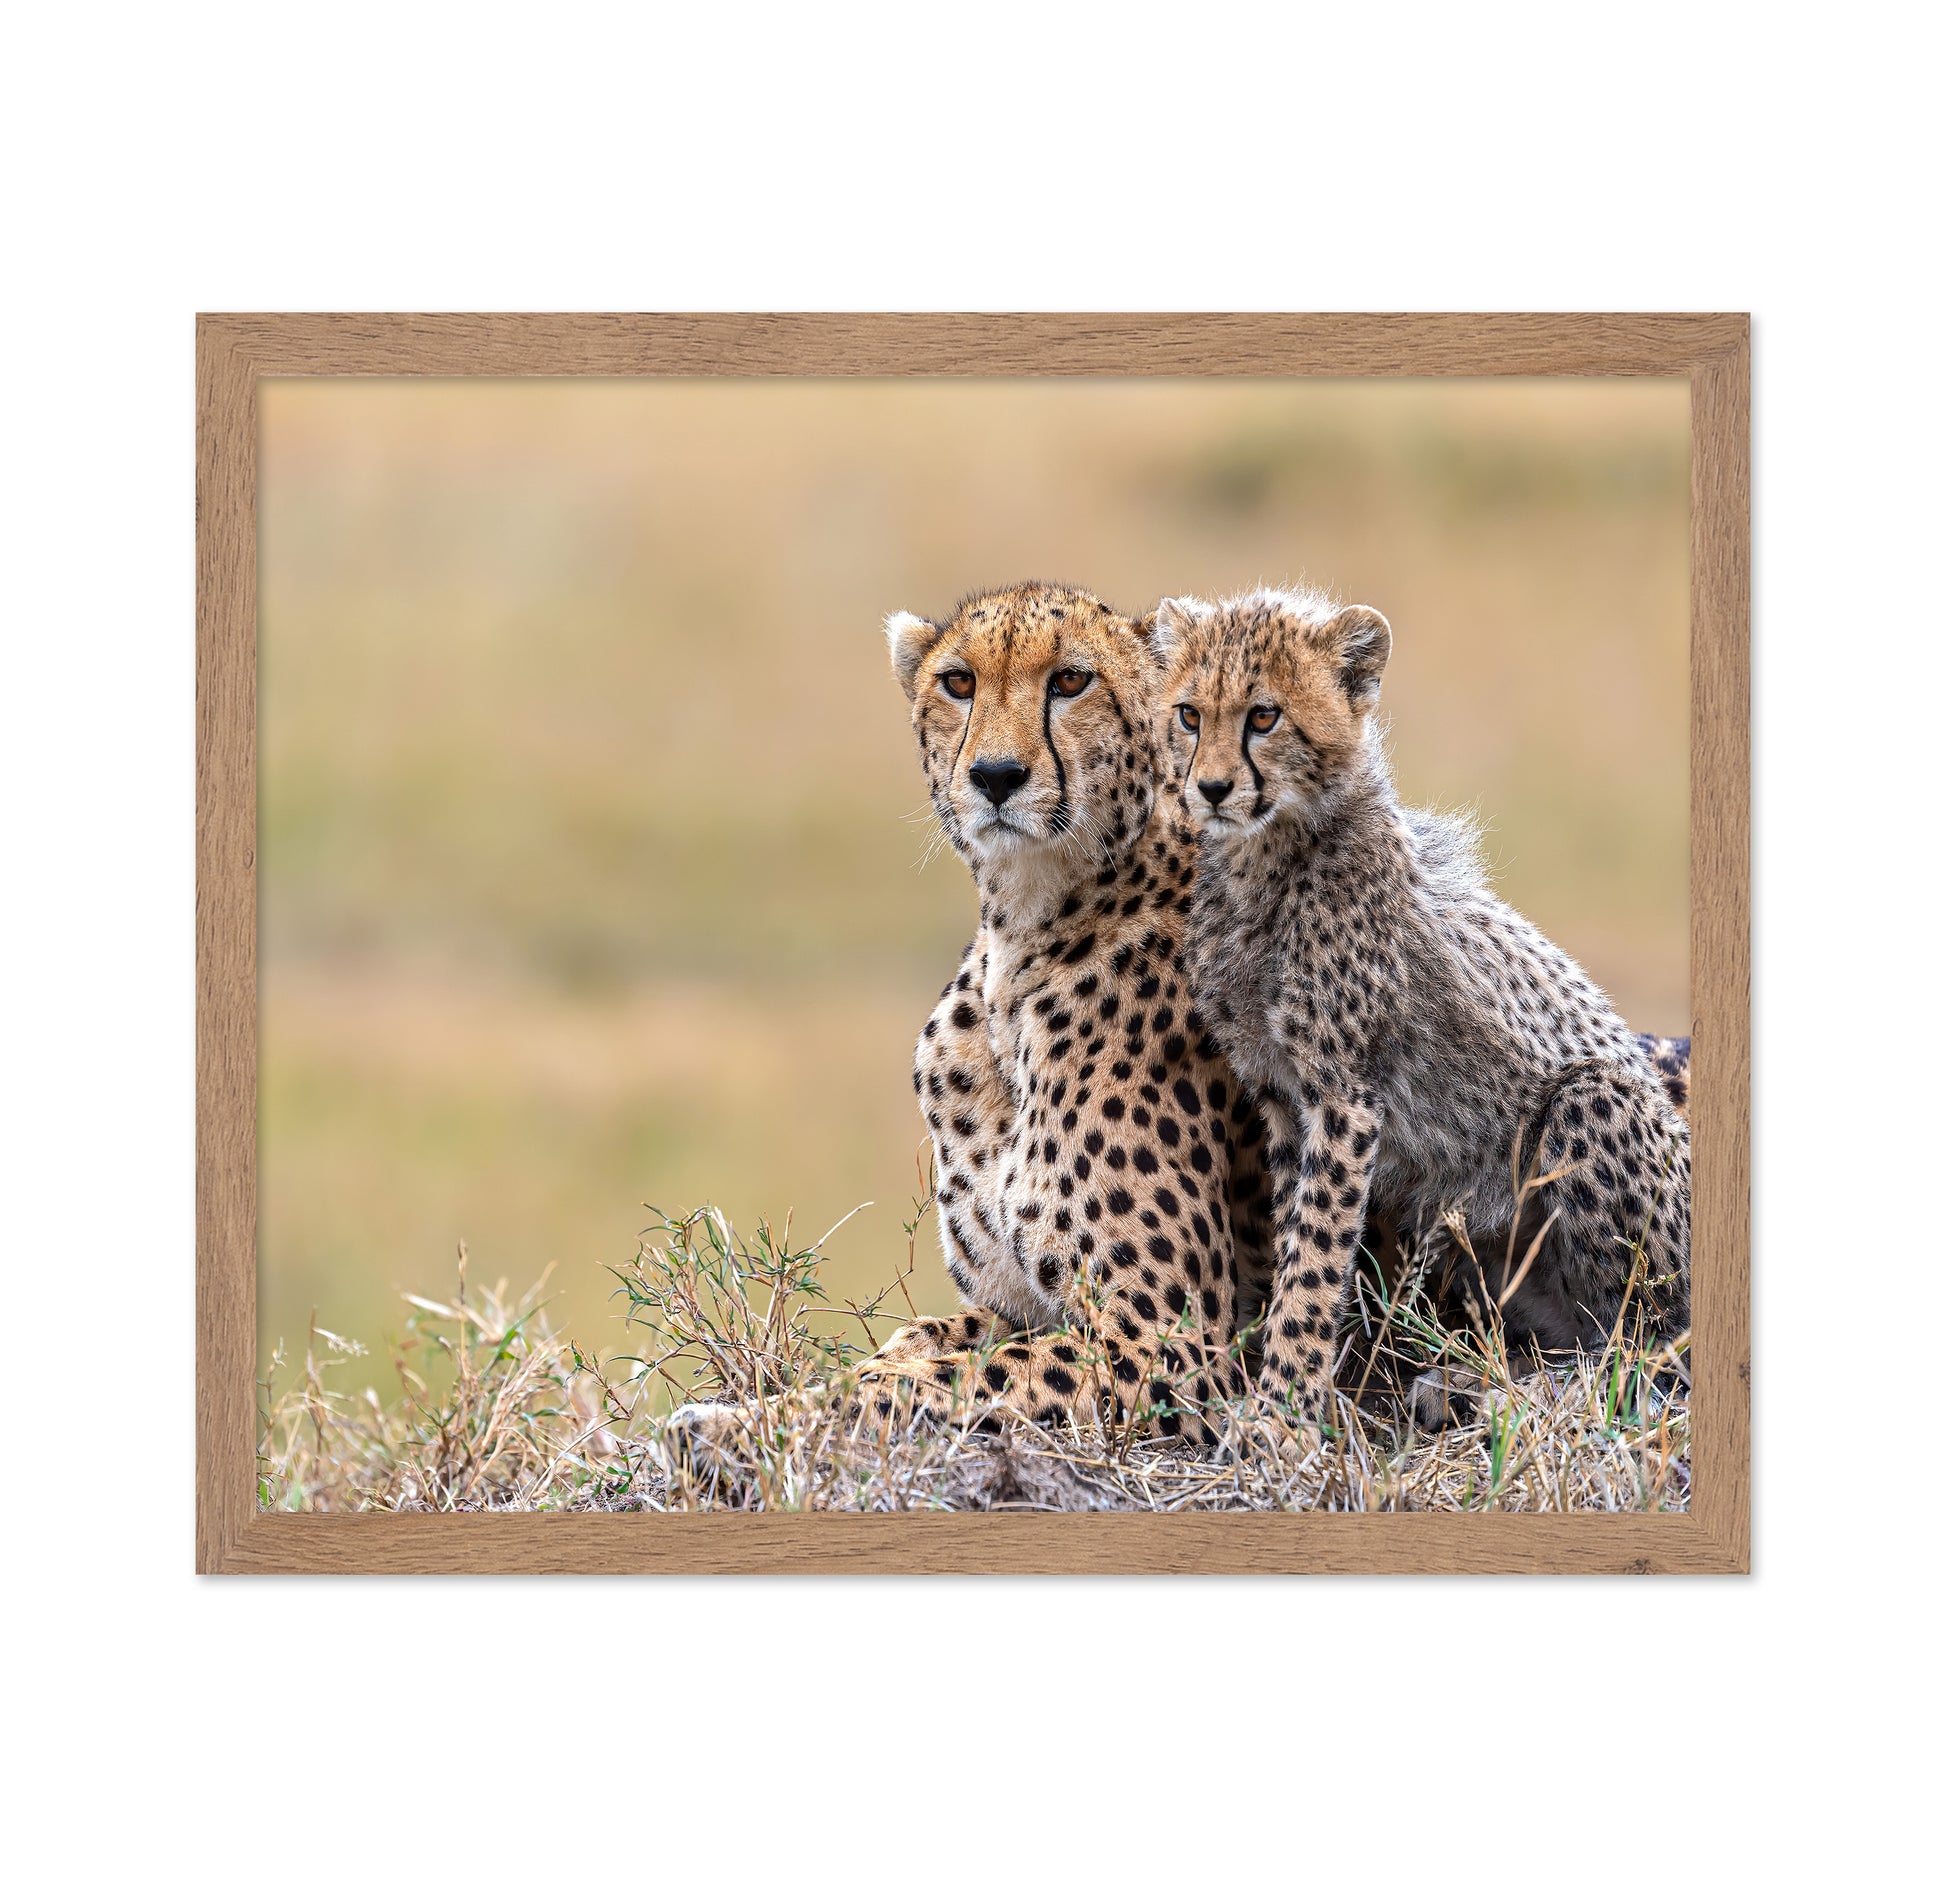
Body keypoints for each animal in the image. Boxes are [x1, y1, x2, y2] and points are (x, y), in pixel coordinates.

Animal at [1154, 585, 1692, 1424]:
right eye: (1188, 714)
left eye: (1263, 716)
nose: (1209, 788)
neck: (1266, 857)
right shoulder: (1282, 1095)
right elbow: (1296, 1242)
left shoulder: (1345, 1095)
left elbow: (1315, 1259)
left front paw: (1283, 1415)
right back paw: (1466, 1383)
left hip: (1597, 1102)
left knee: (1645, 1346)